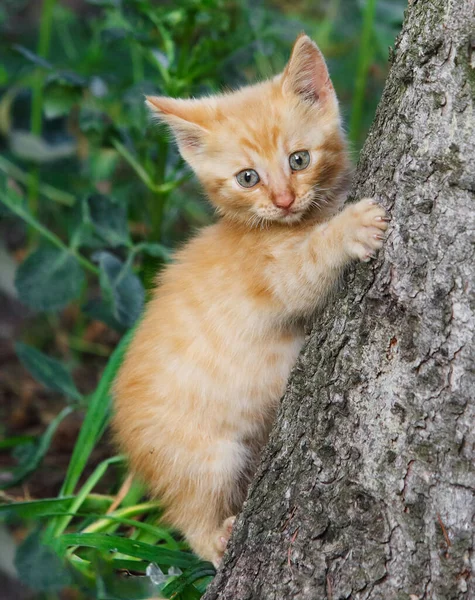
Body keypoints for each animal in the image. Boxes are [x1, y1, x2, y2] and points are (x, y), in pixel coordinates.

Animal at [112, 34, 390, 568]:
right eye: (247, 178)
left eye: (299, 160)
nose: (283, 200)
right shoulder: (275, 275)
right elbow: (310, 265)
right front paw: (352, 227)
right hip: (204, 457)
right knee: (189, 513)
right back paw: (216, 541)